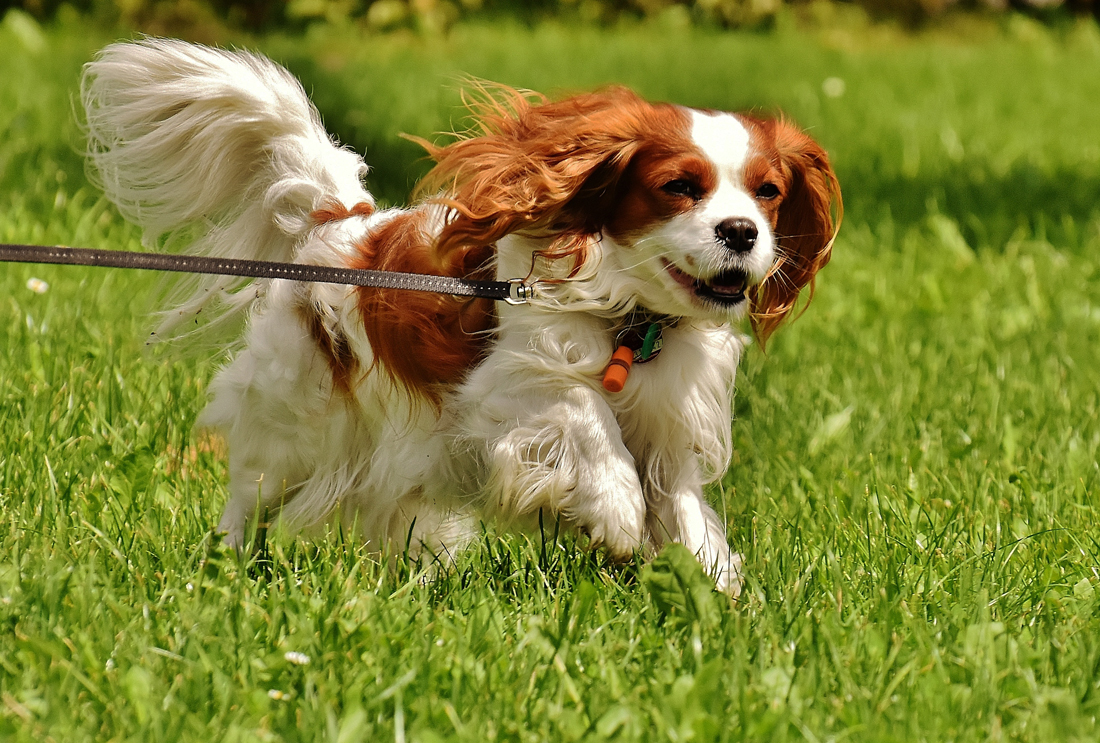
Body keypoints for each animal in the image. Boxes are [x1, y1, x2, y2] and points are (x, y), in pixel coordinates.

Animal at [81, 40, 836, 598]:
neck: (629, 315)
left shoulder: (670, 430)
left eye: (768, 193)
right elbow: (585, 411)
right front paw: (616, 510)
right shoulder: (499, 392)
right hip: (292, 423)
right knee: (250, 494)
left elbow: (680, 508)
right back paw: (226, 566)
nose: (741, 231)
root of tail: (338, 223)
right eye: (679, 187)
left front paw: (716, 584)